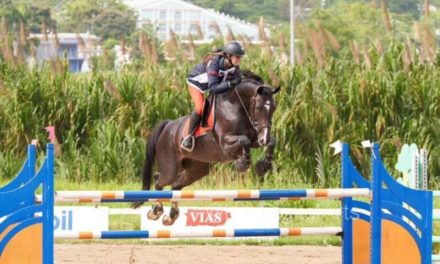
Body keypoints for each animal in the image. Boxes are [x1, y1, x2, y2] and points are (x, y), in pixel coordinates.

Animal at [132, 70, 280, 225]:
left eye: (274, 107)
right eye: (258, 107)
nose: (264, 138)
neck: (235, 106)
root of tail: (168, 125)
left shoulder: (255, 139)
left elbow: (271, 142)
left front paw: (263, 166)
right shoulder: (225, 143)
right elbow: (243, 141)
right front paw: (242, 163)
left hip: (196, 169)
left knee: (176, 186)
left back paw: (171, 216)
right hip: (170, 168)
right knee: (158, 180)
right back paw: (156, 211)